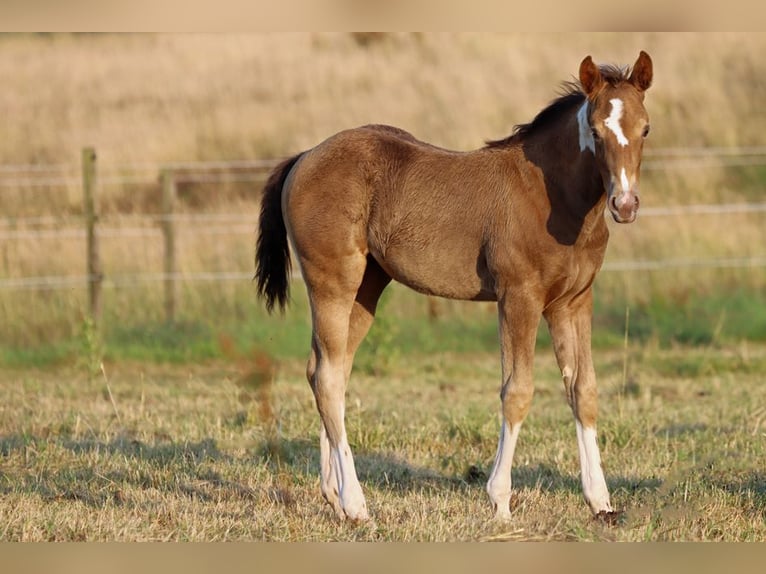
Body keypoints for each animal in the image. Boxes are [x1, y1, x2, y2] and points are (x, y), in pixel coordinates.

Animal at [255, 51, 653, 522]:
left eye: (645, 128)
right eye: (594, 130)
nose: (624, 205)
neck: (554, 197)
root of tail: (303, 157)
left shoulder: (573, 301)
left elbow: (584, 390)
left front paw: (601, 501)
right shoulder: (518, 297)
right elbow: (517, 391)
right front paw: (500, 500)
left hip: (367, 288)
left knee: (326, 370)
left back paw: (334, 495)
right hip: (332, 281)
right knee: (329, 377)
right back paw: (356, 504)